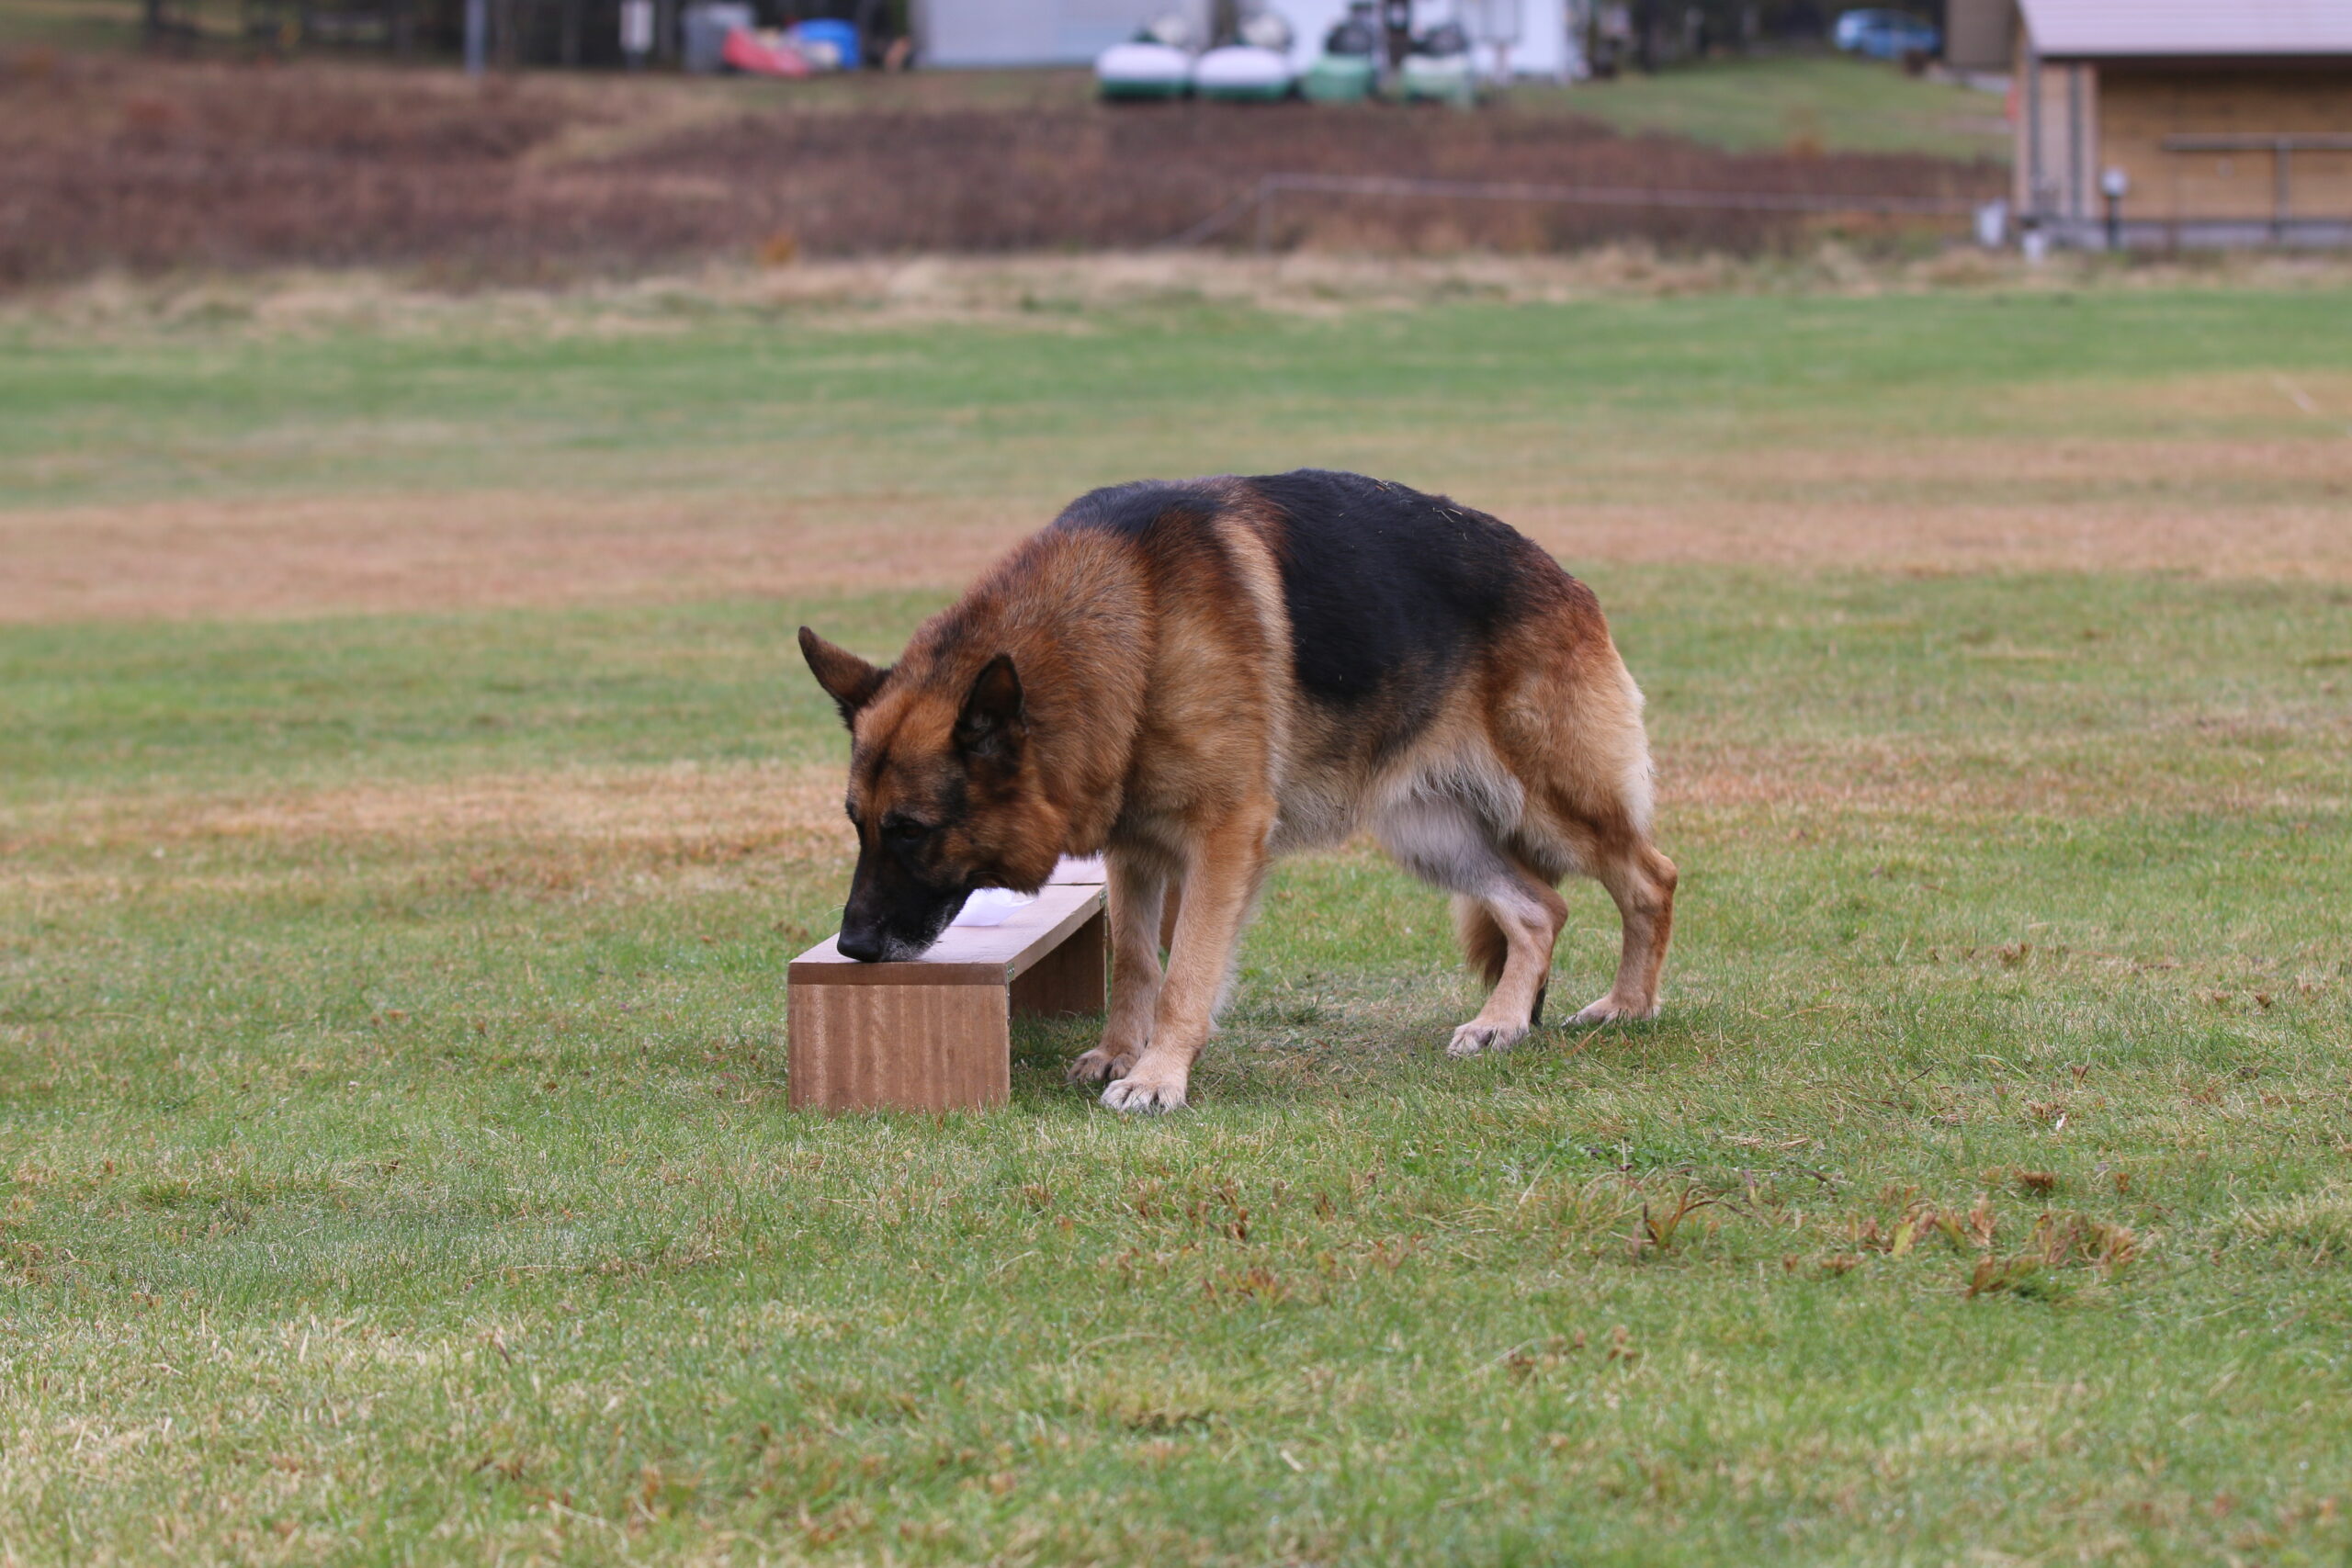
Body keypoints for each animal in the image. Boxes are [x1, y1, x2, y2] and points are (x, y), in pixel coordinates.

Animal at [804, 472, 1674, 1109]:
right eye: (858, 825)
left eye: (911, 829)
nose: (852, 948)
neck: (1134, 628)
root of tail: (1564, 578)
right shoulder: (1135, 848)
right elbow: (1134, 959)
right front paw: (1120, 1051)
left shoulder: (1223, 836)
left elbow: (1188, 967)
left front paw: (1157, 1075)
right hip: (1432, 833)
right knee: (1539, 907)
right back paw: (1502, 1023)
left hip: (1558, 803)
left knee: (1649, 879)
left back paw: (1627, 1007)